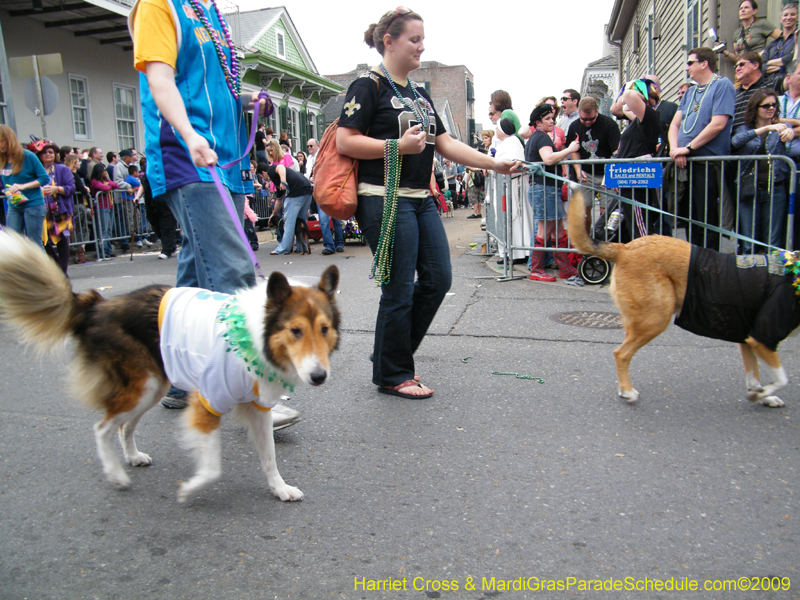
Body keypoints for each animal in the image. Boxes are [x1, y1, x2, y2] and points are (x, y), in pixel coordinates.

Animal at [0, 230, 340, 502]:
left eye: (324, 329)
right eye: (295, 331)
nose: (319, 376)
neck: (257, 336)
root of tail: (97, 305)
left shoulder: (257, 407)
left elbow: (269, 456)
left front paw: (280, 489)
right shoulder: (208, 402)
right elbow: (212, 467)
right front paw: (190, 490)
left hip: (151, 387)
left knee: (123, 426)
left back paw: (133, 457)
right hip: (143, 386)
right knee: (102, 427)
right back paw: (116, 474)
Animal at [564, 192, 796, 408]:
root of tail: (625, 247)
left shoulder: (747, 340)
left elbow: (755, 379)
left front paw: (763, 396)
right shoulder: (762, 340)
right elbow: (782, 378)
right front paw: (765, 393)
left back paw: (623, 389)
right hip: (655, 319)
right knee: (621, 353)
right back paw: (628, 392)